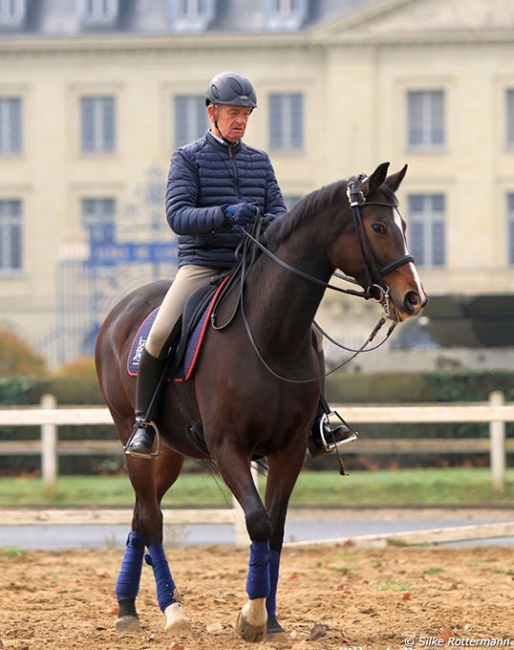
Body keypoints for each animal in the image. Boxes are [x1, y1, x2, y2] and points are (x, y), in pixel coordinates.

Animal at [95, 161, 424, 636]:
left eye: (404, 226)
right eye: (378, 226)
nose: (414, 297)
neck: (270, 337)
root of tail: (120, 312)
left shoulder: (290, 450)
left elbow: (277, 530)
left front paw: (269, 620)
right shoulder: (229, 447)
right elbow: (257, 522)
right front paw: (250, 616)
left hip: (171, 451)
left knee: (142, 513)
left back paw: (127, 606)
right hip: (133, 438)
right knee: (152, 519)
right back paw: (172, 611)